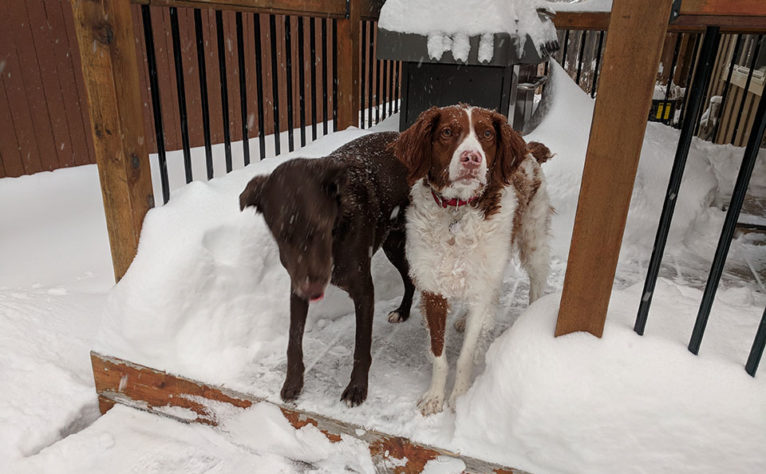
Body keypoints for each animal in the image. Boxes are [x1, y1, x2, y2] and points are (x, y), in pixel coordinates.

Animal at [396, 104, 552, 414]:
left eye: (487, 134)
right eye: (447, 132)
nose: (472, 158)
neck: (458, 209)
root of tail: (529, 149)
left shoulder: (481, 285)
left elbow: (466, 354)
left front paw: (458, 397)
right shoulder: (433, 289)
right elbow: (438, 353)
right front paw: (435, 396)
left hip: (533, 242)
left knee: (536, 283)